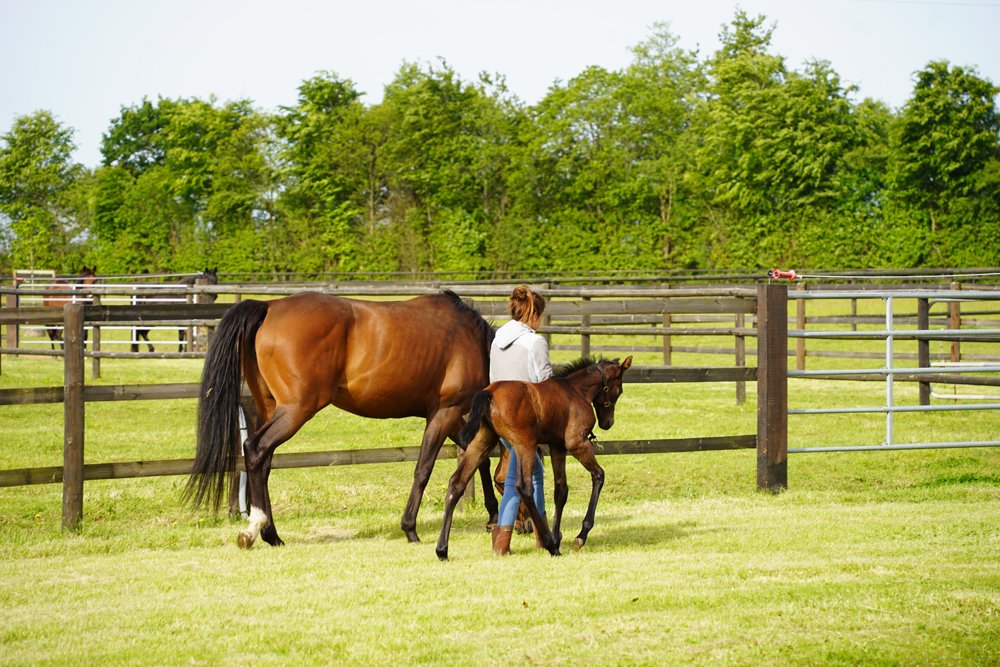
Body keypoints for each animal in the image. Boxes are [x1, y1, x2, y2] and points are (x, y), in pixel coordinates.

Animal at [184, 290, 500, 548]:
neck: (472, 339)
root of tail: (269, 306)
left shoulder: (449, 415)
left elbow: (479, 458)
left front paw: (493, 514)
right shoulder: (446, 411)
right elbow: (424, 468)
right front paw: (410, 528)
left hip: (271, 408)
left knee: (263, 462)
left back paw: (269, 533)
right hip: (296, 409)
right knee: (255, 448)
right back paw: (259, 529)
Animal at [435, 355, 633, 561]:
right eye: (619, 389)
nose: (607, 423)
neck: (576, 390)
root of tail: (490, 393)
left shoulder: (557, 447)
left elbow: (561, 491)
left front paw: (557, 536)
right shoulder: (577, 443)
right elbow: (599, 475)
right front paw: (579, 536)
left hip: (482, 441)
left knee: (457, 483)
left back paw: (442, 550)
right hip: (525, 444)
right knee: (524, 487)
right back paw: (549, 545)